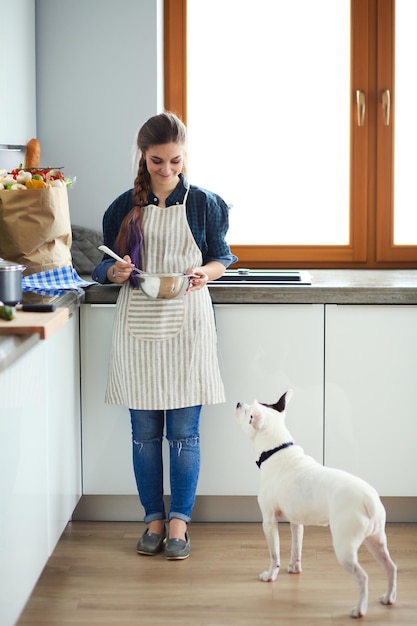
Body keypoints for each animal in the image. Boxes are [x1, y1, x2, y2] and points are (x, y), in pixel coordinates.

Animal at [236, 388, 394, 616]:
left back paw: (359, 610)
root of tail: (368, 498)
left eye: (247, 411)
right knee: (390, 567)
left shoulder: (268, 522)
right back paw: (388, 598)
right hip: (376, 541)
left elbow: (274, 554)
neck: (276, 450)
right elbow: (296, 547)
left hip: (345, 548)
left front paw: (270, 575)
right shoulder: (296, 522)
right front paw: (294, 569)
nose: (238, 403)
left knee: (363, 577)